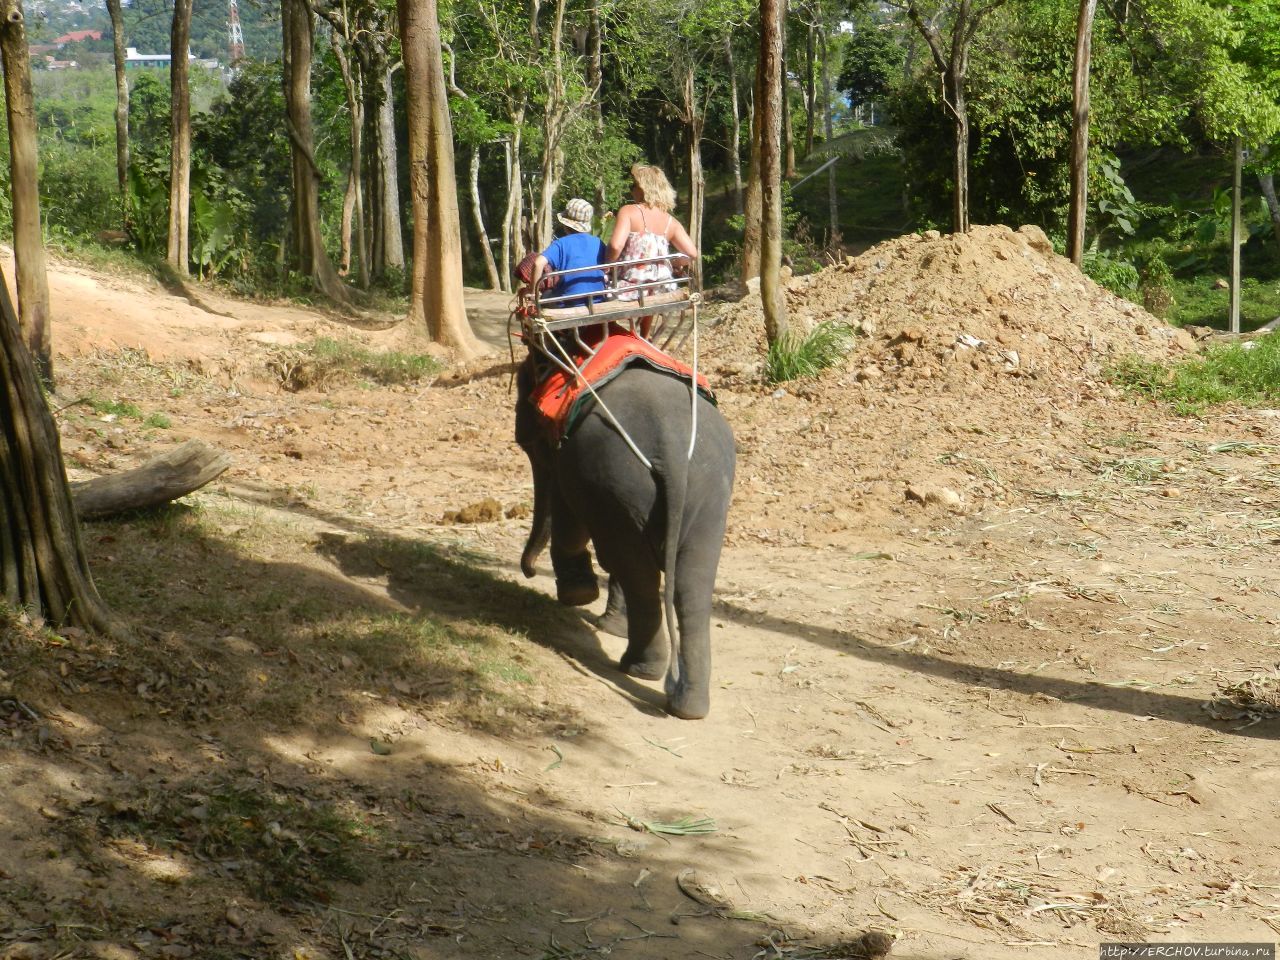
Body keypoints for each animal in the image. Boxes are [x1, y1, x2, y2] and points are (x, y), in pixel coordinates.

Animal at [514, 358, 737, 716]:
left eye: (528, 444)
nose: (530, 572)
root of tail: (672, 452)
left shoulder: (572, 464)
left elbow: (570, 524)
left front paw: (578, 595)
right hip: (704, 491)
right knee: (689, 583)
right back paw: (687, 706)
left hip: (615, 476)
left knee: (639, 574)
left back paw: (639, 670)